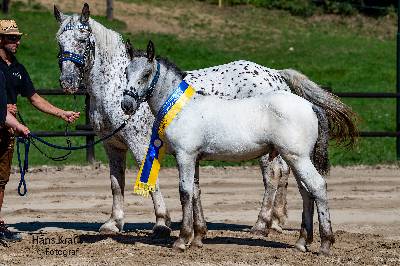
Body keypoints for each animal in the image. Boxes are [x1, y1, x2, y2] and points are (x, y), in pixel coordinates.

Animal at [53, 3, 294, 237]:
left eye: (83, 40)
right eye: (59, 41)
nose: (68, 81)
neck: (115, 87)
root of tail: (275, 75)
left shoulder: (140, 144)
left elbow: (152, 181)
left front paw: (162, 222)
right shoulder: (113, 145)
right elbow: (116, 183)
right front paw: (113, 223)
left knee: (272, 175)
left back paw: (261, 224)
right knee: (283, 172)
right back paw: (275, 222)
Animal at [121, 40, 356, 255]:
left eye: (146, 74)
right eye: (126, 72)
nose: (126, 105)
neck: (182, 106)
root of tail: (310, 106)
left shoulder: (185, 156)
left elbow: (185, 193)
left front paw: (182, 239)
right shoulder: (195, 158)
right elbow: (196, 192)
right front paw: (198, 237)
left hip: (297, 157)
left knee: (317, 186)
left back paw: (324, 244)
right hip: (295, 158)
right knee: (306, 192)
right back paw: (301, 242)